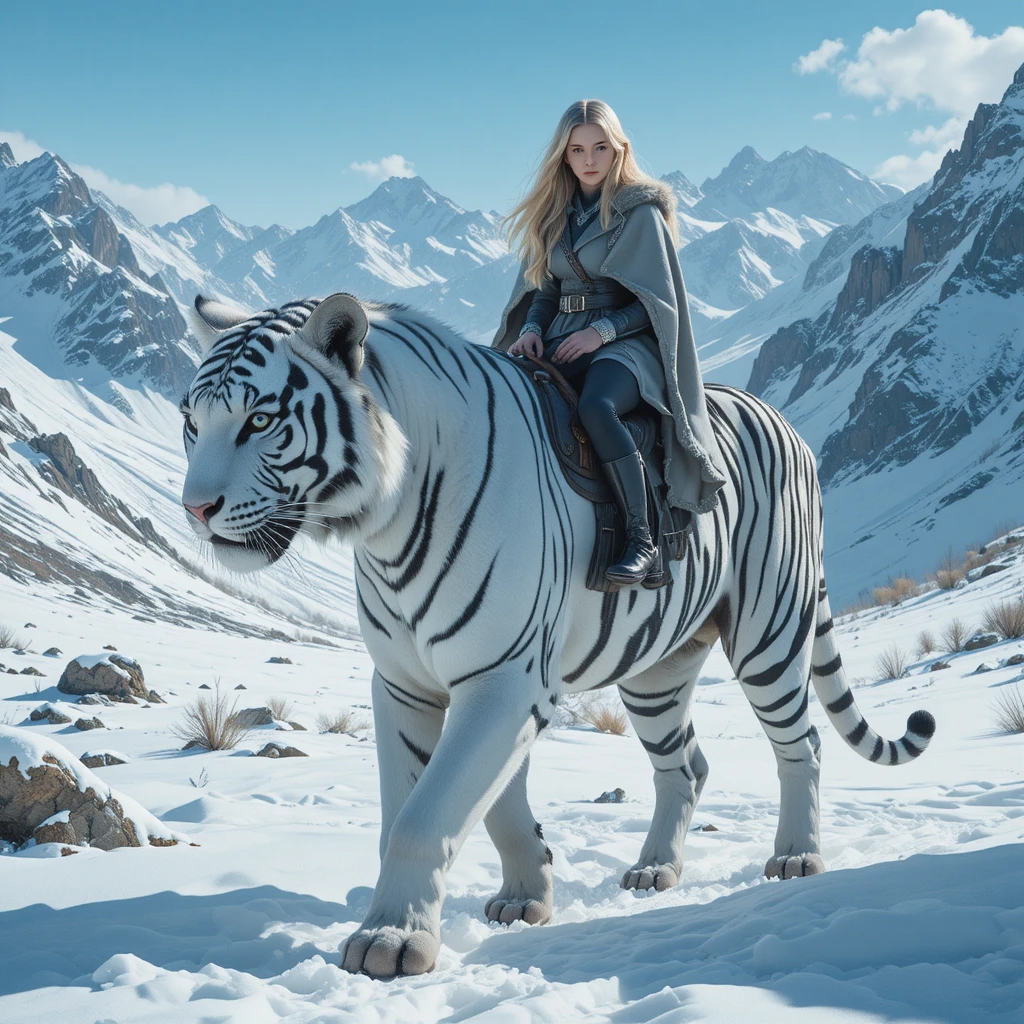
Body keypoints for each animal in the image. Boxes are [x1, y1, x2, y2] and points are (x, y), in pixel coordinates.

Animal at [180, 291, 936, 980]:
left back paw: (796, 857)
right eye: (192, 422)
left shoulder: (503, 677)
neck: (385, 522)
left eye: (259, 419)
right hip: (655, 674)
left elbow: (425, 817)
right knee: (685, 765)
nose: (195, 510)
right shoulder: (409, 683)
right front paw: (525, 896)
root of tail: (787, 423)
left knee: (801, 744)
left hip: (768, 633)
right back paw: (655, 869)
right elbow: (470, 802)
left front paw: (391, 941)